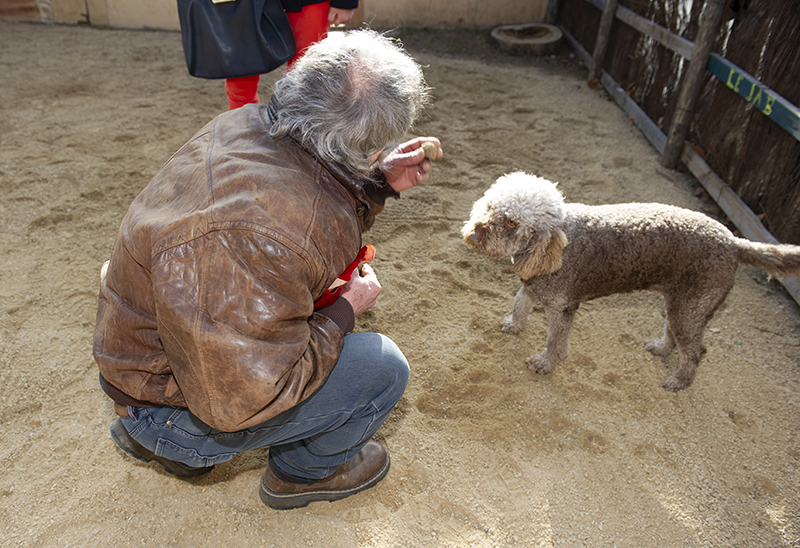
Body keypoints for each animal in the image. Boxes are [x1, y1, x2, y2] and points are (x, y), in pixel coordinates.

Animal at [460, 171, 800, 390]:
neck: (557, 242)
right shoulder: (532, 286)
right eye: (489, 207)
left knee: (696, 351)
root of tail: (733, 241)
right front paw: (513, 325)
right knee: (673, 333)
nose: (473, 234)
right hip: (678, 302)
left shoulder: (562, 307)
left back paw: (678, 381)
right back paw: (661, 348)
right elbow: (519, 305)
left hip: (691, 307)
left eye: (511, 222)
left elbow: (555, 342)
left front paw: (545, 363)